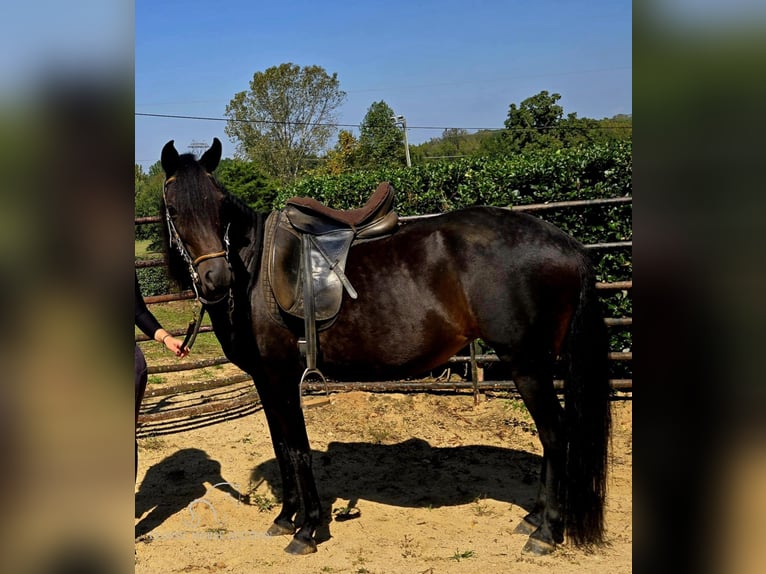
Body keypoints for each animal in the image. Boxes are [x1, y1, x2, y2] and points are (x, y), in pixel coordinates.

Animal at [160, 140, 612, 560]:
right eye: (174, 209)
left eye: (219, 205)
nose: (216, 279)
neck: (254, 272)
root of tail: (567, 244)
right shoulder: (266, 380)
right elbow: (282, 446)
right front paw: (285, 518)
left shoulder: (283, 377)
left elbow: (298, 449)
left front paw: (307, 530)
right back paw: (534, 518)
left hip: (528, 365)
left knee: (555, 434)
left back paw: (547, 531)